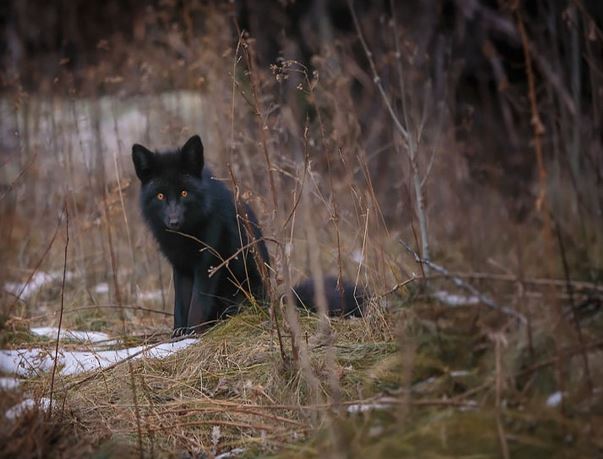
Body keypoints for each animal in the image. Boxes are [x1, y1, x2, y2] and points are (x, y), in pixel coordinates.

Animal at [133, 136, 364, 334]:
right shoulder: (180, 268)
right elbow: (180, 307)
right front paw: (177, 337)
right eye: (160, 196)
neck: (185, 235)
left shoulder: (207, 265)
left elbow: (196, 307)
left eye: (184, 193)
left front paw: (192, 335)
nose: (174, 221)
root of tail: (272, 300)